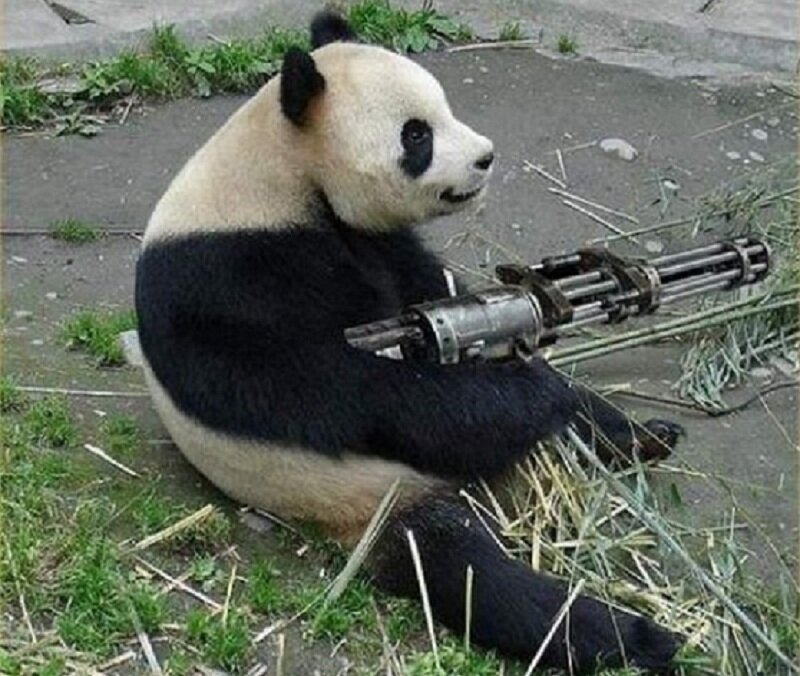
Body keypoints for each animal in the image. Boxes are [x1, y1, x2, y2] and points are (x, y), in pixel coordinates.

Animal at [135, 10, 682, 672]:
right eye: (416, 135)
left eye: (444, 109)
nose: (485, 157)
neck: (282, 171)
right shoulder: (224, 274)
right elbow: (323, 389)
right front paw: (523, 393)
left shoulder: (377, 245)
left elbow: (430, 291)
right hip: (368, 498)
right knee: (470, 573)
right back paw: (633, 635)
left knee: (575, 415)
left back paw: (644, 437)